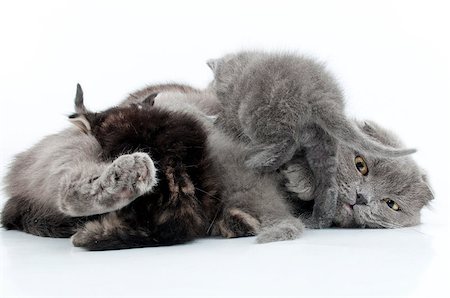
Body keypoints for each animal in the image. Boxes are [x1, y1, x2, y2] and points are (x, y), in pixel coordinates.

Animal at [207, 51, 432, 228]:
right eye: (361, 165)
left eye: (391, 204)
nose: (362, 198)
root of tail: (319, 96)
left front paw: (299, 178)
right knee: (328, 183)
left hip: (261, 116)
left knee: (285, 144)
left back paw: (256, 163)